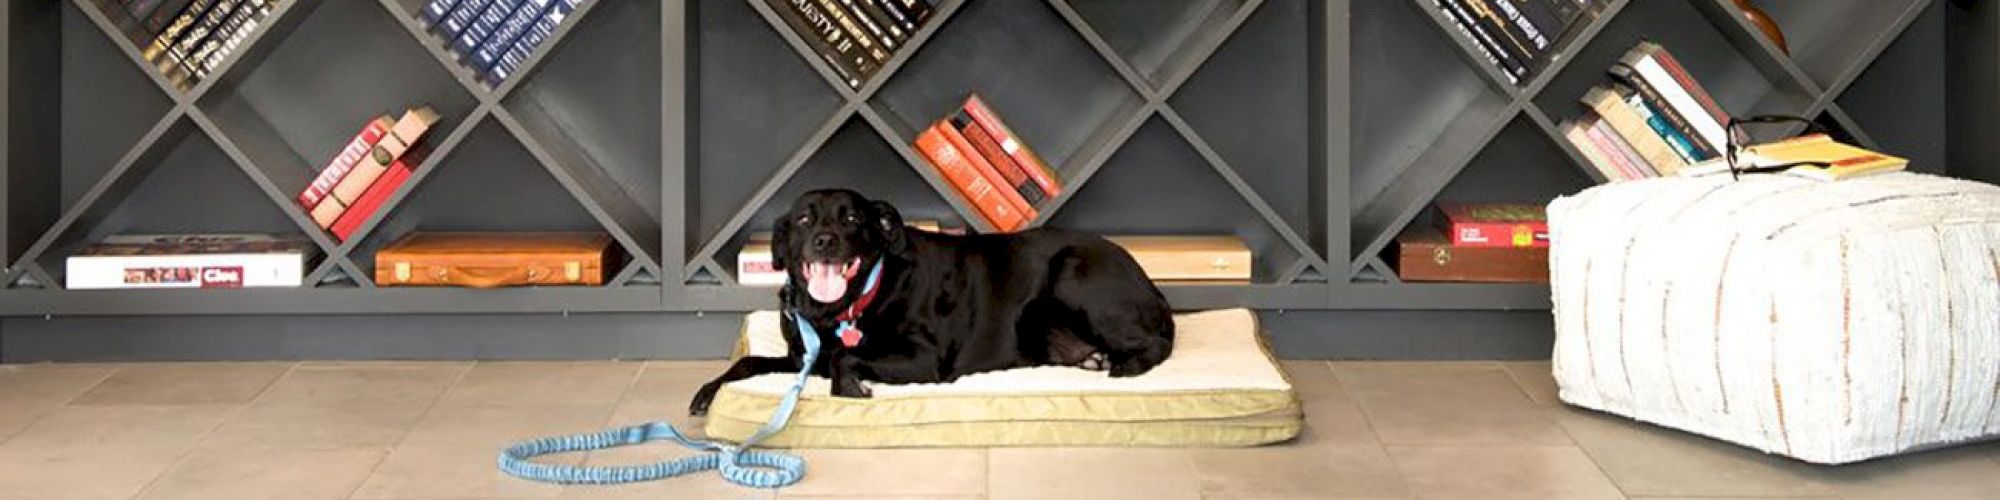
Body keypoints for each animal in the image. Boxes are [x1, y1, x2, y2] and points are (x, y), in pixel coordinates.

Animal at [696, 188, 1176, 414]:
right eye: (802, 220)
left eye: (851, 217)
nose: (824, 241)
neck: (842, 309)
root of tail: (1148, 282)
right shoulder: (800, 358)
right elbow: (748, 361)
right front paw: (707, 392)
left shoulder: (924, 359)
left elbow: (844, 358)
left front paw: (849, 386)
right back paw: (1091, 358)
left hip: (1072, 271)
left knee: (1158, 345)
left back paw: (1125, 365)